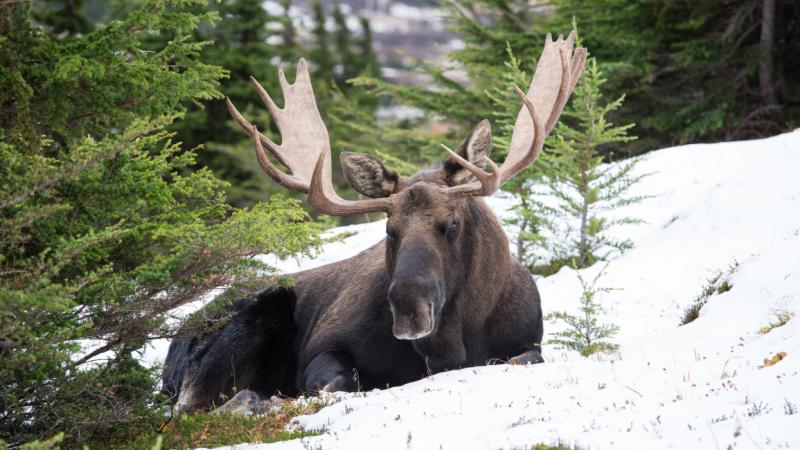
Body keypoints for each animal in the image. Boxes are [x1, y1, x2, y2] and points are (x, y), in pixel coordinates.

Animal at [164, 32, 588, 412]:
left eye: (452, 223)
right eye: (389, 229)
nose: (409, 309)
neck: (454, 343)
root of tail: (172, 347)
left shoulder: (529, 343)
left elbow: (522, 358)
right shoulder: (324, 346)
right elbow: (338, 383)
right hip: (249, 316)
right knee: (192, 406)